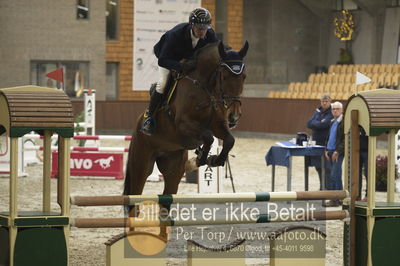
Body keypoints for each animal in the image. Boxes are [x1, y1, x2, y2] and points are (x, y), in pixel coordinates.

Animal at [123, 41, 248, 216]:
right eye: (224, 76)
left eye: (244, 77)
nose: (234, 117)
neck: (205, 87)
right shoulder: (183, 124)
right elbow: (208, 136)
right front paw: (201, 158)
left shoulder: (218, 125)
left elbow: (229, 139)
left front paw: (215, 159)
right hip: (141, 163)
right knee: (135, 195)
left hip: (173, 167)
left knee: (166, 198)